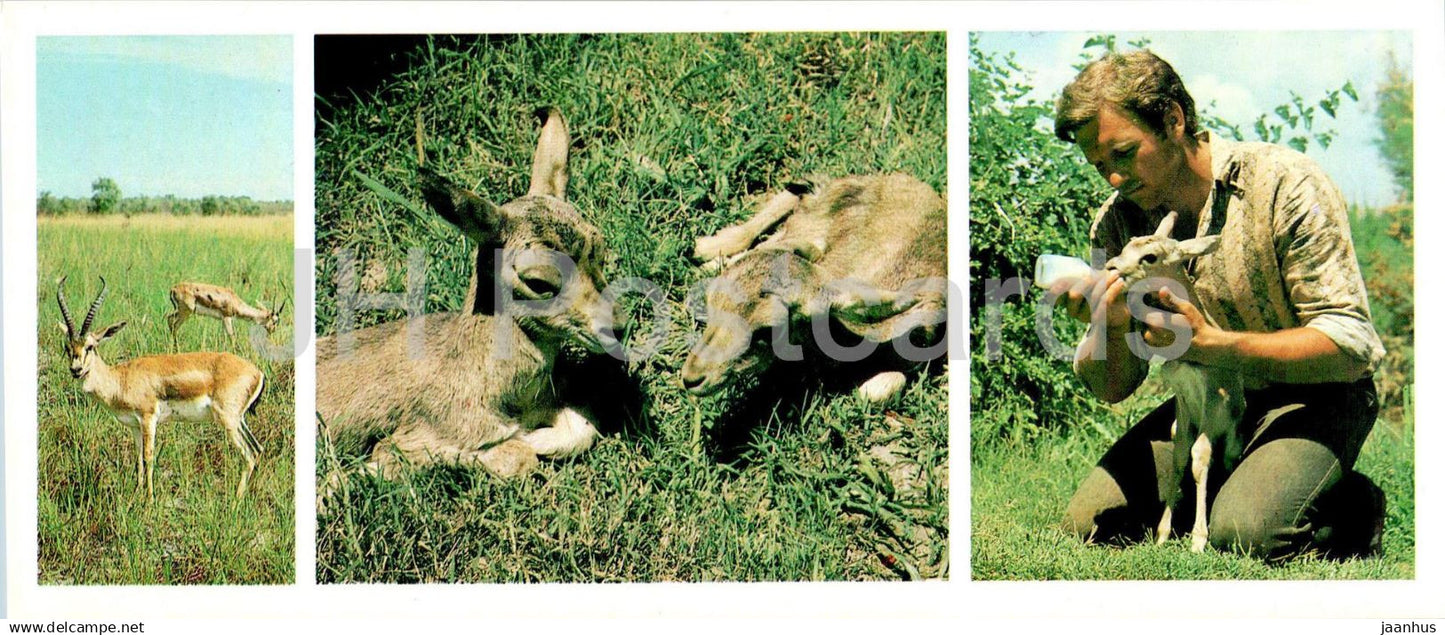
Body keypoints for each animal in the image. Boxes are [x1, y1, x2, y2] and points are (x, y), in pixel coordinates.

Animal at [56, 276, 266, 500]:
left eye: (90, 346)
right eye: (67, 347)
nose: (76, 370)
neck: (121, 379)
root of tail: (257, 372)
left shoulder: (148, 419)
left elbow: (148, 457)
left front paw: (149, 499)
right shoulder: (134, 426)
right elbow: (138, 458)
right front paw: (137, 494)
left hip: (228, 420)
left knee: (249, 454)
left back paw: (236, 500)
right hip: (239, 420)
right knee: (257, 449)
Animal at [1104, 211, 1255, 552]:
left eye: (1150, 256)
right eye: (1128, 243)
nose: (1111, 268)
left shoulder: (1212, 398)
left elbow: (1200, 459)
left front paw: (1198, 539)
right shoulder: (1183, 401)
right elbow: (1179, 458)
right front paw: (1162, 534)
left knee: (1227, 458)